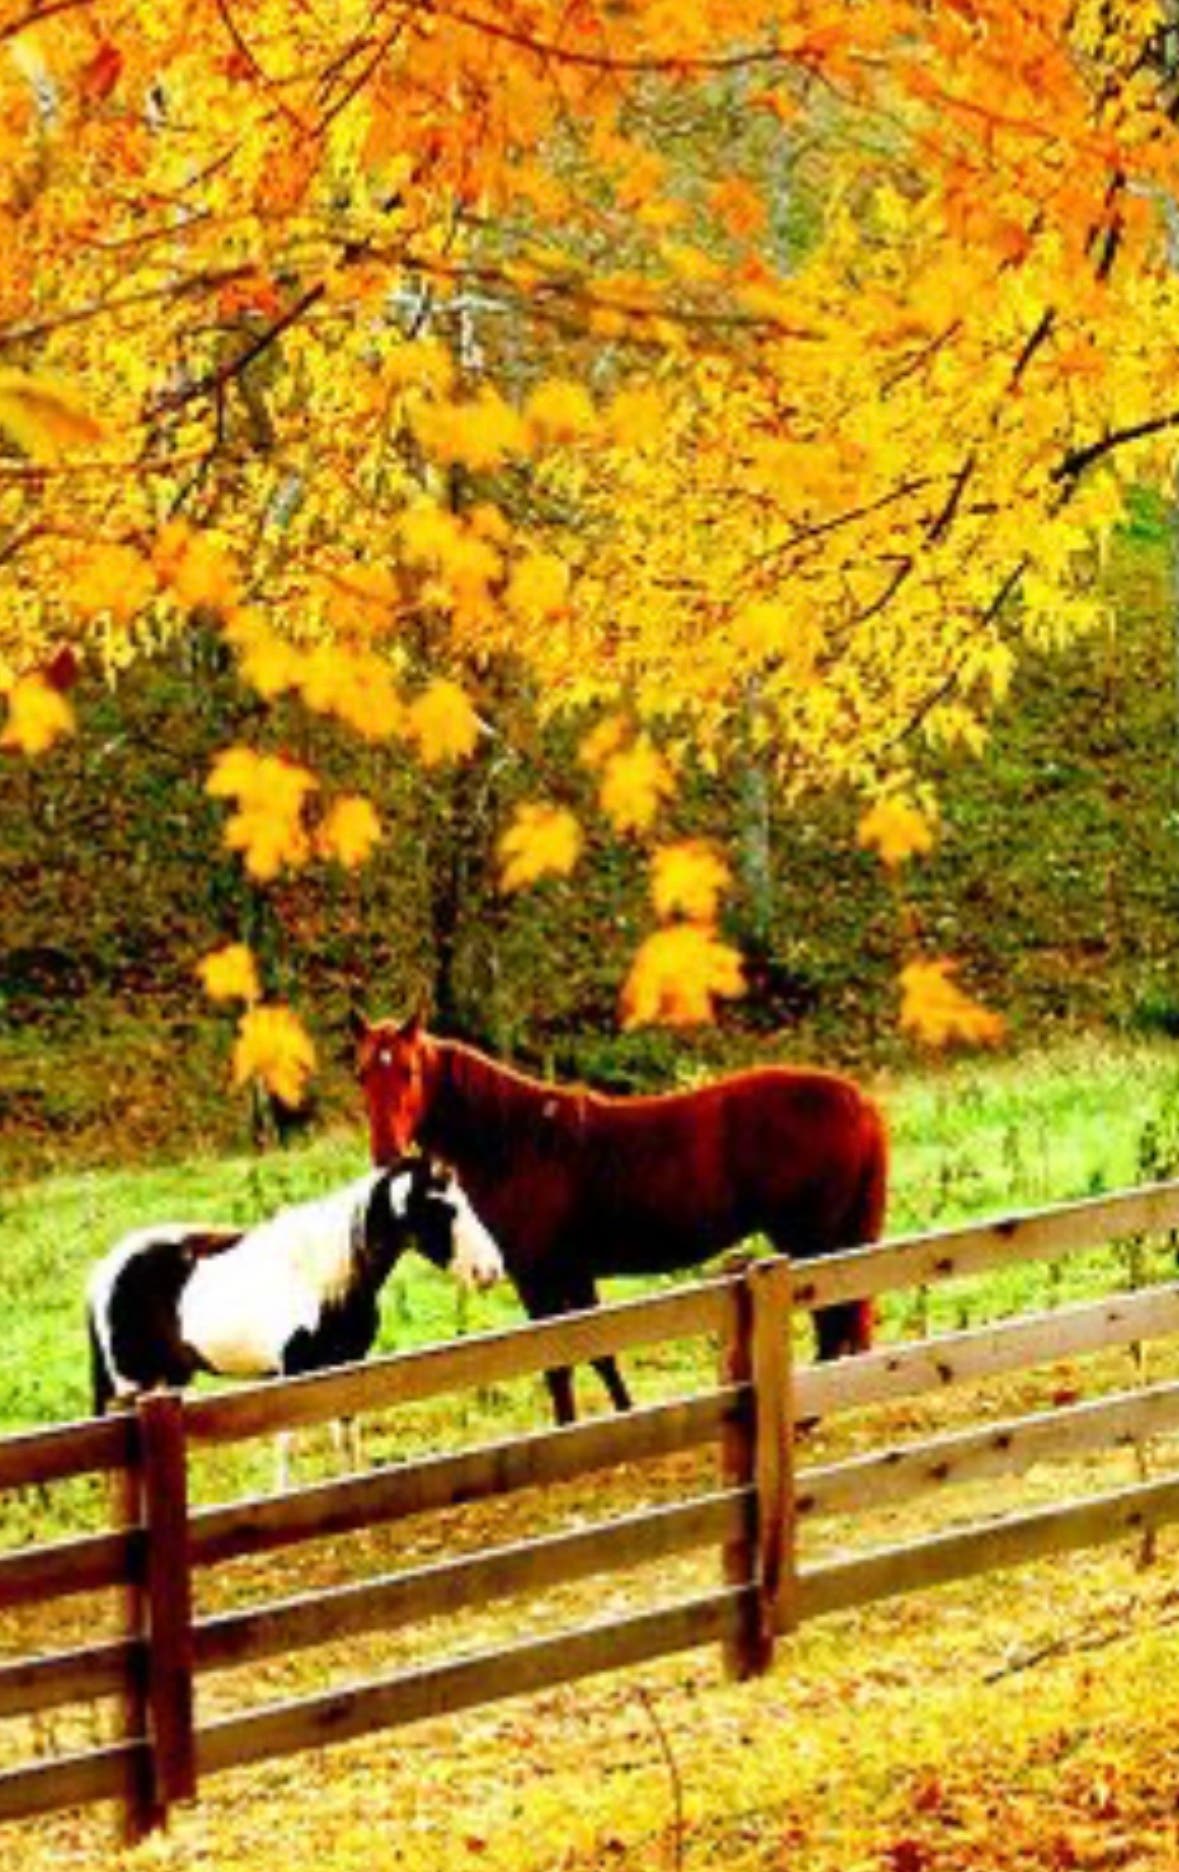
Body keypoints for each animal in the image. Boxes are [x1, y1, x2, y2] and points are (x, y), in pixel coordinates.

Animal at [86, 1156, 503, 1483]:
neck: (321, 1280)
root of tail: (105, 1270)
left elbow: (346, 1436)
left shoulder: (346, 1368)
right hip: (131, 1386)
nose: (490, 1270)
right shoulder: (292, 1375)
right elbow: (287, 1443)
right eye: (443, 1209)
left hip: (167, 1380)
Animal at [353, 1014, 888, 1424]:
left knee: (832, 1326)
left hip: (814, 1240)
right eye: (362, 1074)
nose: (386, 1154)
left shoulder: (538, 1277)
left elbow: (560, 1362)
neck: (514, 1142)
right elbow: (599, 1353)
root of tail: (857, 1101)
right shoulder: (573, 1274)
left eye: (408, 1071)